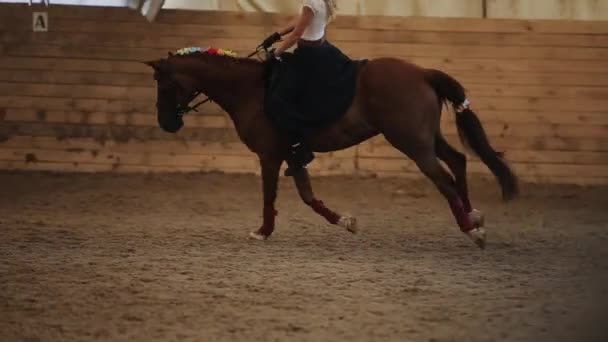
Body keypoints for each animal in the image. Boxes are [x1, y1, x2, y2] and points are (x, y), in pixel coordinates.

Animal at [142, 45, 516, 248]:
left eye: (163, 82)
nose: (167, 123)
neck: (250, 90)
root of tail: (422, 72)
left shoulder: (269, 155)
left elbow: (269, 196)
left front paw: (263, 231)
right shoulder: (293, 155)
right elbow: (308, 197)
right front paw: (345, 221)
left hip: (413, 143)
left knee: (445, 180)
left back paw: (472, 231)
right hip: (427, 138)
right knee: (458, 161)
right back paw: (474, 215)